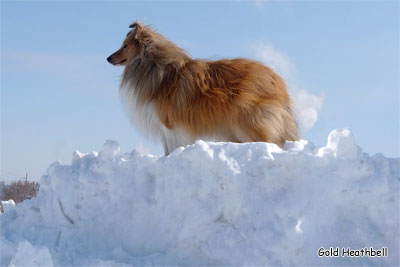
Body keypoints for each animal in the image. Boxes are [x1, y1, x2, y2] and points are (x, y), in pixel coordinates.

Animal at [108, 22, 298, 156]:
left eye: (125, 45)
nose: (108, 58)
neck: (153, 66)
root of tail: (276, 79)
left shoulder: (169, 124)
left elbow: (173, 148)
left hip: (249, 122)